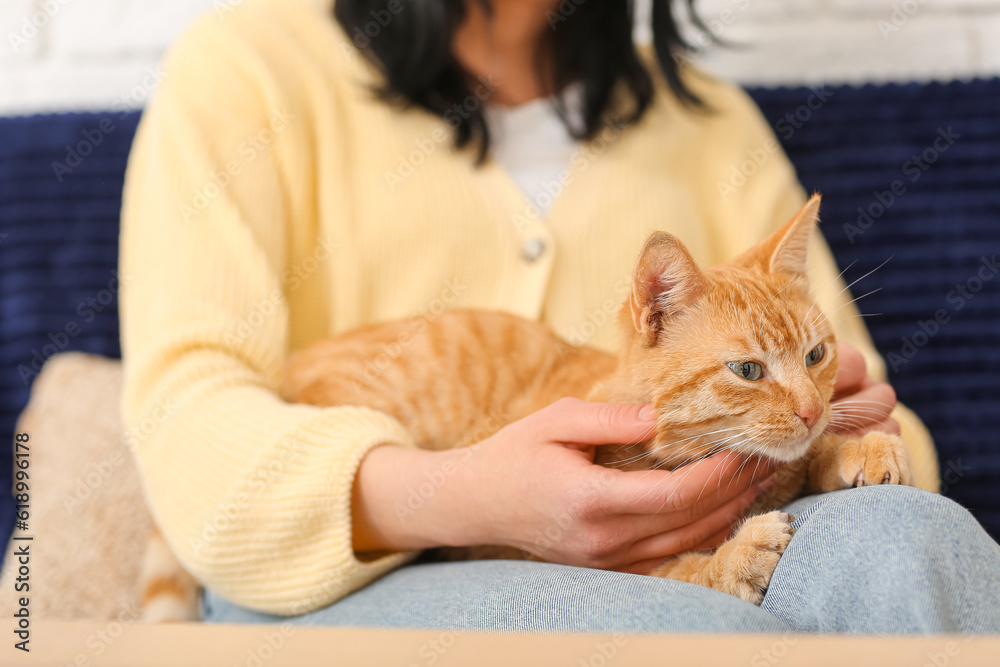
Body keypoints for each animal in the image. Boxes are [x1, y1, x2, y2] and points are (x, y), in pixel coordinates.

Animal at [280, 193, 916, 604]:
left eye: (816, 356)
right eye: (747, 370)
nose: (812, 410)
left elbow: (806, 457)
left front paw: (858, 446)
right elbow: (680, 573)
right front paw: (735, 557)